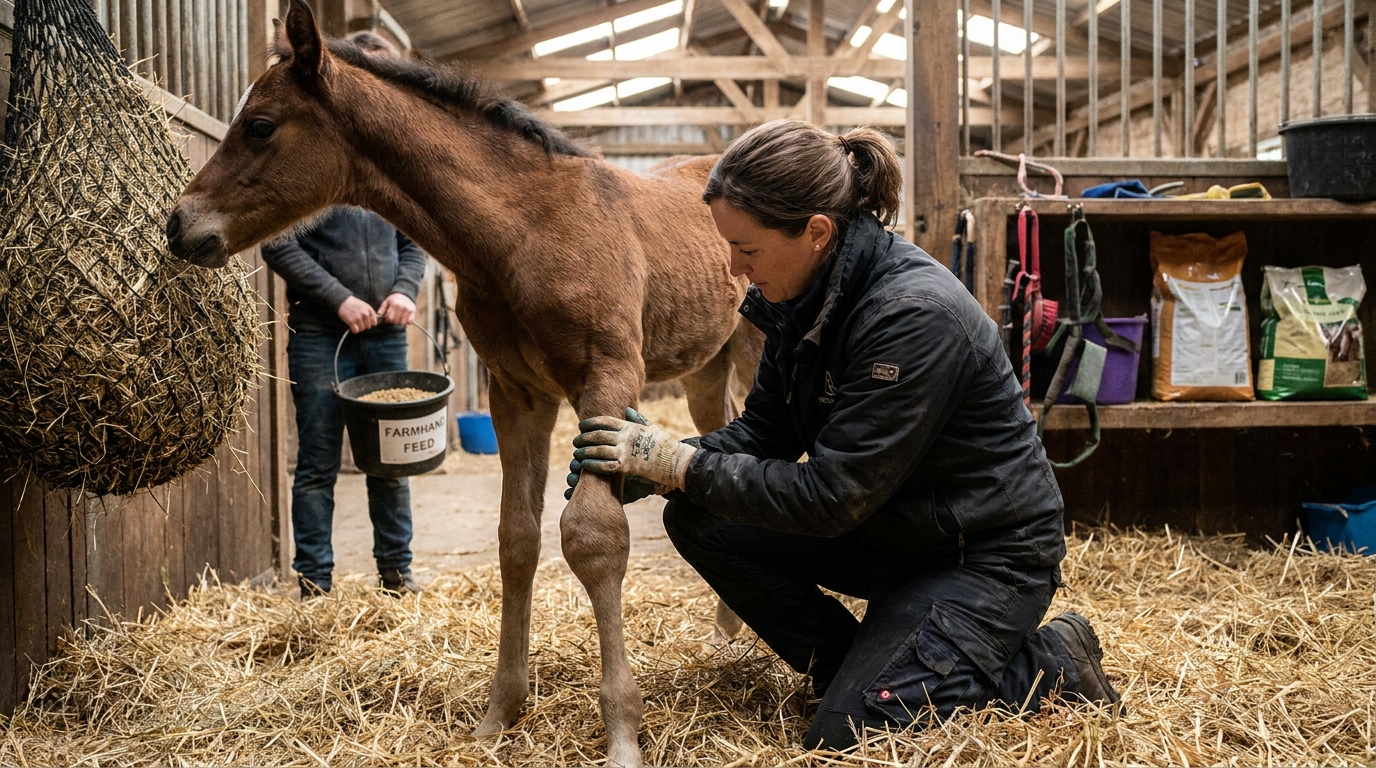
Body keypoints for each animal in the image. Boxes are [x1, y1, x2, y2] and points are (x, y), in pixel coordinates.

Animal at [166, 1, 760, 765]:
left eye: (262, 125)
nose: (179, 225)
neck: (525, 230)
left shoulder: (606, 377)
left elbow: (593, 537)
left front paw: (623, 732)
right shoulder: (518, 393)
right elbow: (517, 540)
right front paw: (499, 713)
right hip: (706, 368)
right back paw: (725, 634)